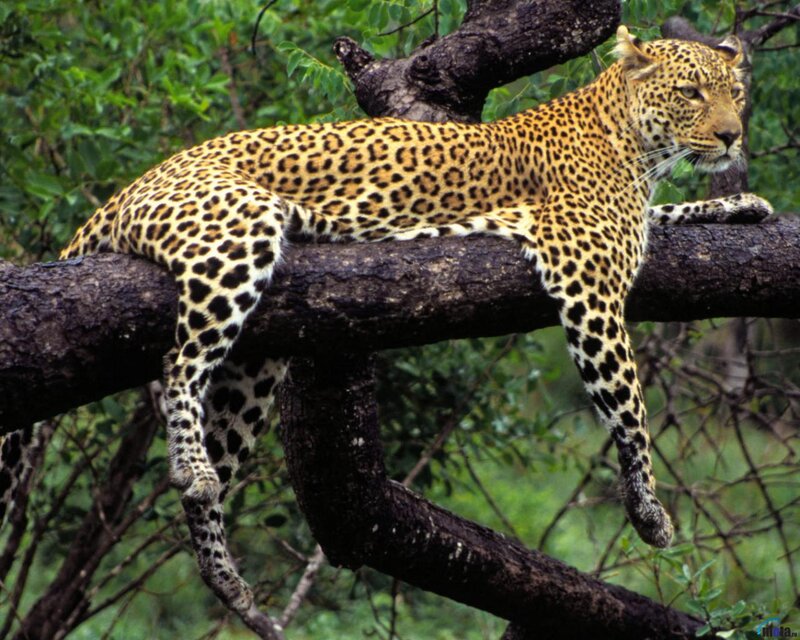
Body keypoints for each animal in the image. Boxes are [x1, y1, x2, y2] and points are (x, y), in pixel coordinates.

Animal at [0, 25, 773, 627]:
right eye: (691, 93)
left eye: (734, 95)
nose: (731, 136)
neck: (634, 143)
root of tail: (128, 188)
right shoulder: (587, 278)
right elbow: (630, 409)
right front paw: (649, 512)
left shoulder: (624, 228)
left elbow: (667, 218)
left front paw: (742, 205)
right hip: (238, 235)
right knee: (180, 364)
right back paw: (191, 465)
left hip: (256, 361)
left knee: (209, 453)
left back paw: (223, 572)